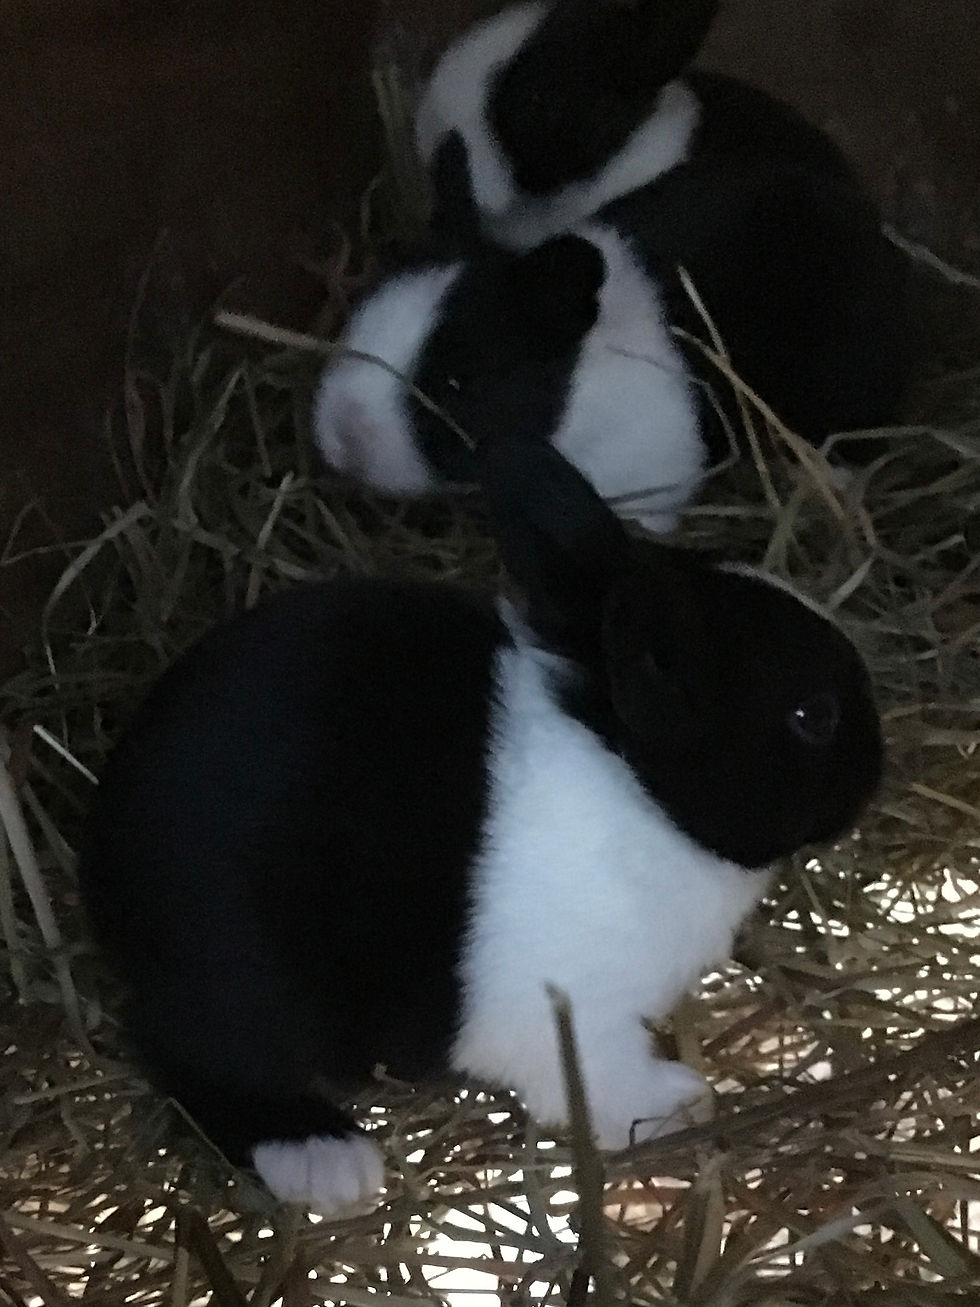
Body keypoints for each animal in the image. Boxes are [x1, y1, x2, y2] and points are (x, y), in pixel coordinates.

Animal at [78, 435, 883, 1215]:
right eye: (814, 716)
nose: (876, 767)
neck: (631, 782)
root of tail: (103, 865)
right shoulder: (580, 1024)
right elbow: (606, 1086)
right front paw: (682, 1103)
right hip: (242, 981)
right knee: (196, 1059)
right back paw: (328, 1160)